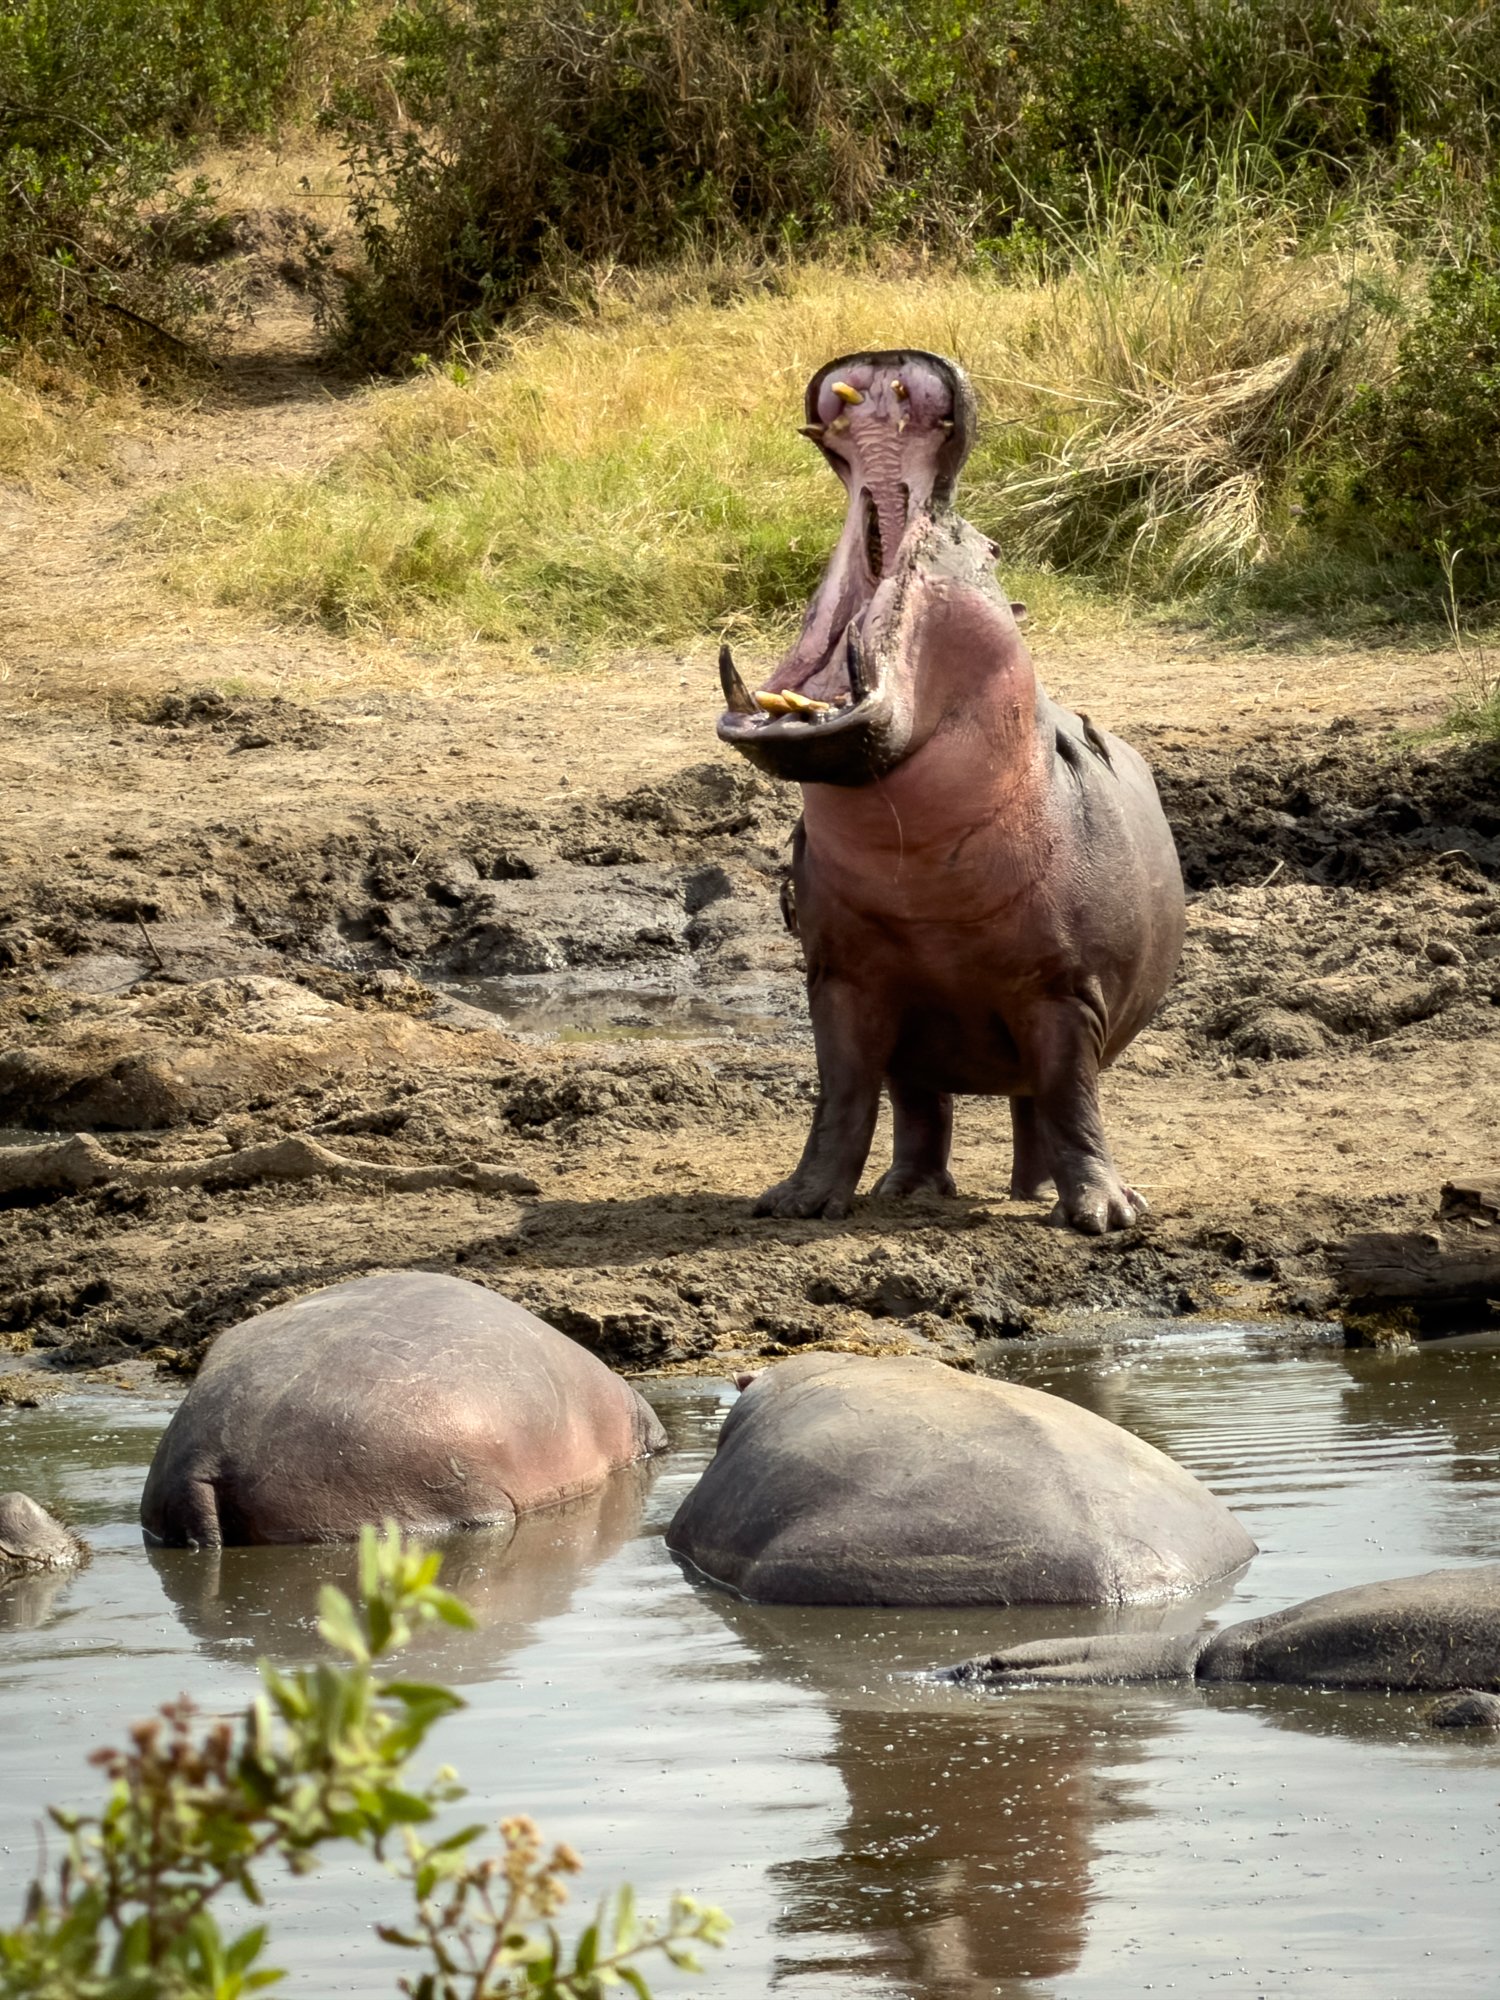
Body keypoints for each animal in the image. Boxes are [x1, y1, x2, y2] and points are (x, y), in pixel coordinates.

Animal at [716, 349, 1184, 1231]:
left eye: (987, 545)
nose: (879, 358)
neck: (914, 863)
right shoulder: (841, 983)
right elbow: (841, 1099)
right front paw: (798, 1201)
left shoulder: (1067, 995)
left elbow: (1075, 1103)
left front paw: (1105, 1216)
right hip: (921, 1042)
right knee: (921, 1108)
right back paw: (907, 1192)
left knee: (1038, 1104)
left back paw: (1044, 1196)